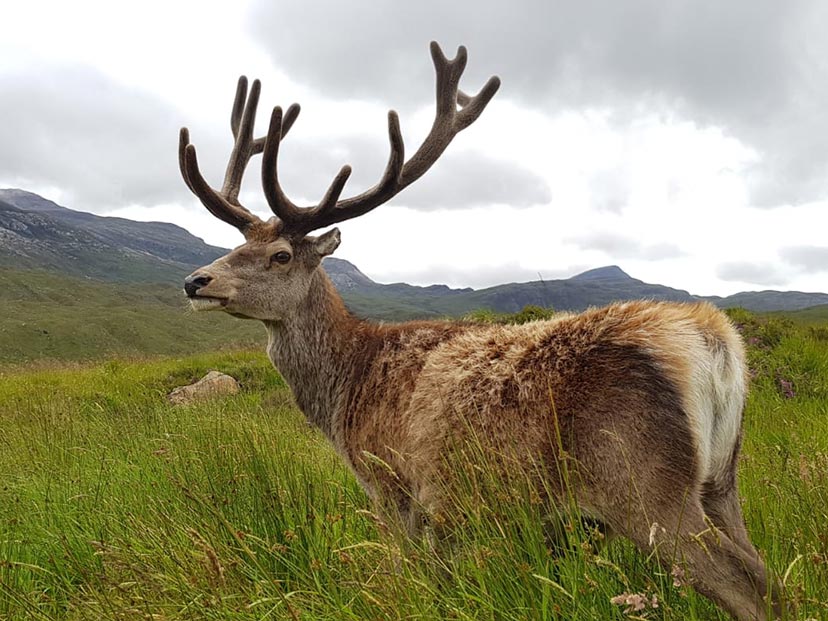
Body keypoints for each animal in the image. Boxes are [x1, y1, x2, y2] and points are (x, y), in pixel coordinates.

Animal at [178, 42, 781, 621]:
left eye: (280, 255)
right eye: (236, 245)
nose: (195, 280)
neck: (346, 387)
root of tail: (714, 343)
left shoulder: (392, 483)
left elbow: (409, 577)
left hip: (642, 483)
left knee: (747, 584)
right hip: (721, 480)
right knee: (767, 573)